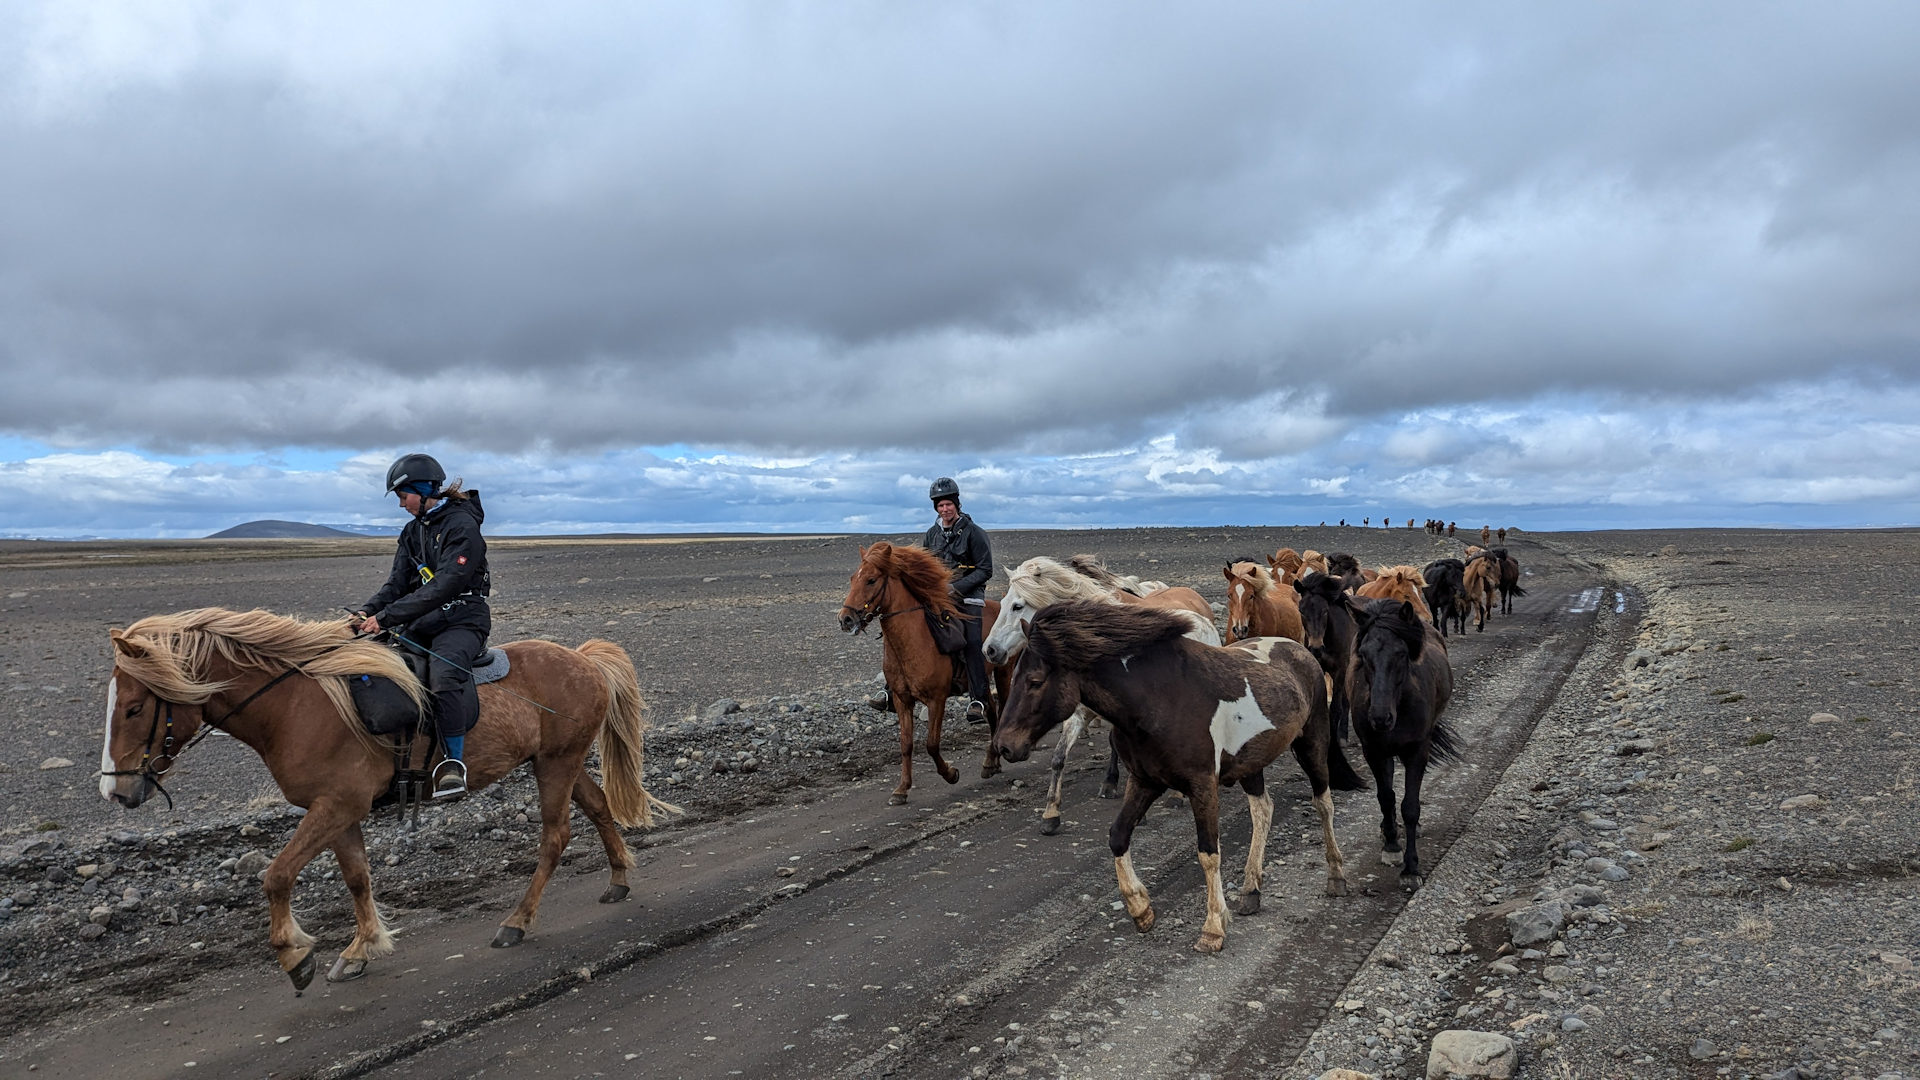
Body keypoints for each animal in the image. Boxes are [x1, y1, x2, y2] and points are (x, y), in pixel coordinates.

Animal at [101, 607, 683, 983]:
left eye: (134, 708)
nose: (116, 790)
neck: (298, 706)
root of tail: (584, 659)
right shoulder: (339, 811)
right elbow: (357, 877)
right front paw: (361, 949)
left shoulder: (336, 806)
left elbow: (277, 876)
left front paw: (296, 956)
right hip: (557, 760)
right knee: (599, 807)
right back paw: (618, 880)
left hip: (557, 764)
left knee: (555, 836)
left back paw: (515, 923)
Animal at [837, 538, 1013, 799]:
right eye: (851, 579)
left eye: (871, 580)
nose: (845, 619)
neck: (915, 640)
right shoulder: (902, 700)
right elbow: (906, 744)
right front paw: (902, 789)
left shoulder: (936, 699)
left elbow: (931, 744)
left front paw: (950, 774)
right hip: (982, 680)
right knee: (990, 710)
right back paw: (991, 763)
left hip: (1003, 673)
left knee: (1002, 710)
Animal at [983, 553, 1221, 834]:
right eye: (1002, 603)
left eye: (1017, 606)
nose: (990, 650)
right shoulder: (1077, 714)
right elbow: (1058, 757)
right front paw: (1050, 813)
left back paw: (1176, 795)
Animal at [990, 599, 1367, 945]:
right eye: (1015, 676)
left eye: (1035, 681)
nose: (1004, 746)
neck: (1159, 700)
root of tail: (1300, 651)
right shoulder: (1144, 781)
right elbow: (1118, 836)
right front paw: (1141, 909)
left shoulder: (1202, 786)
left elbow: (1208, 853)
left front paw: (1213, 927)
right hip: (1251, 764)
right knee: (1263, 810)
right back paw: (1250, 891)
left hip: (1312, 744)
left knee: (1323, 804)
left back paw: (1336, 877)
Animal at [1351, 595, 1451, 883]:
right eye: (1364, 654)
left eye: (1401, 653)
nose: (1380, 717)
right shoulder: (1373, 751)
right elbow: (1386, 797)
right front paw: (1392, 846)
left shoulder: (1417, 751)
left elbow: (1410, 806)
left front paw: (1411, 867)